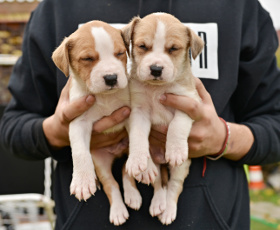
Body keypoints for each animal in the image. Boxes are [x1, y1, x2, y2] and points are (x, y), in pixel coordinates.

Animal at [52, 20, 142, 226]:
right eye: (87, 58)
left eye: (120, 53)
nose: (111, 78)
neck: (105, 97)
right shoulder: (78, 122)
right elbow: (79, 152)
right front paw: (82, 181)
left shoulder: (130, 113)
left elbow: (137, 136)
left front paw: (139, 159)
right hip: (100, 160)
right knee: (111, 183)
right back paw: (118, 210)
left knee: (125, 169)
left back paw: (132, 195)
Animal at [122, 13, 203, 225]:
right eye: (143, 46)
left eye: (173, 49)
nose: (156, 69)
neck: (156, 89)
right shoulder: (138, 112)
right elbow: (138, 136)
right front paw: (137, 160)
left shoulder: (189, 102)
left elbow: (176, 125)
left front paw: (174, 150)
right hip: (155, 165)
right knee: (157, 181)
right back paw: (153, 198)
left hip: (182, 167)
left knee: (173, 186)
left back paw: (167, 210)